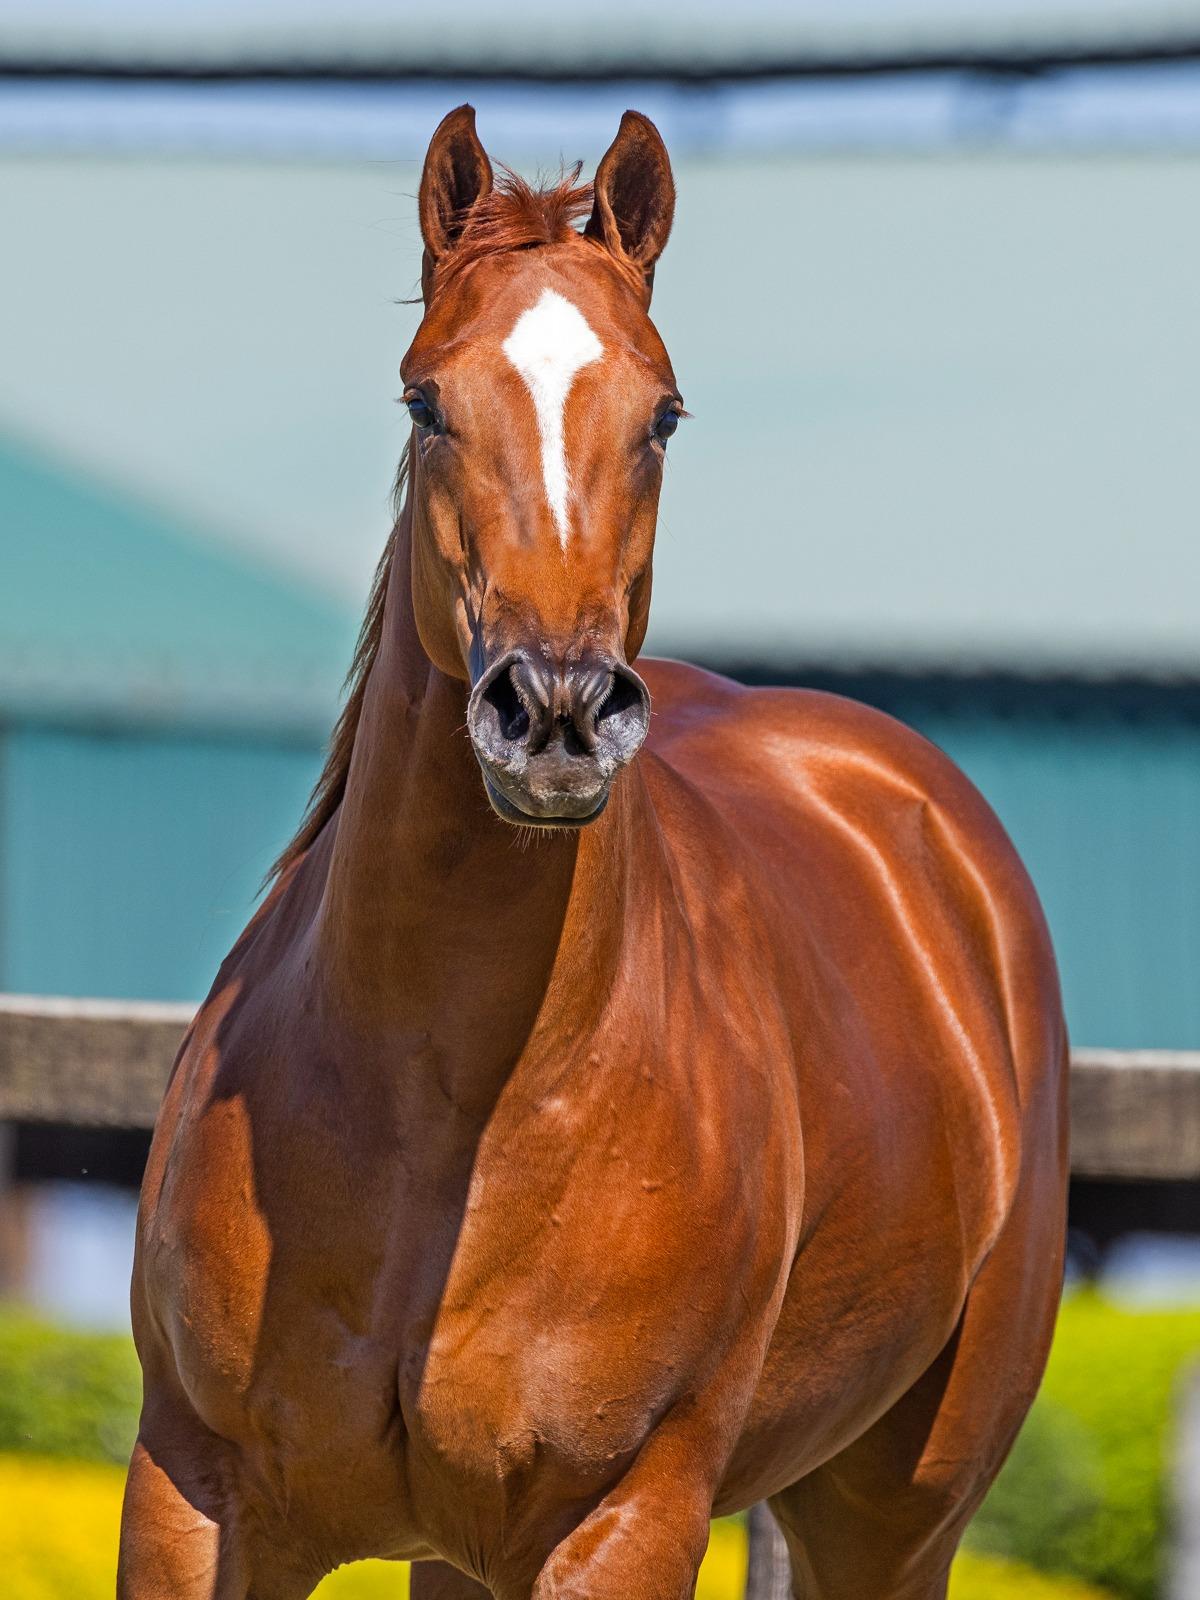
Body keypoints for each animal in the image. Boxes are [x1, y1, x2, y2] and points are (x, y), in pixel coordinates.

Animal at [117, 109, 1068, 1600]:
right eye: (426, 401)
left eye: (662, 412)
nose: (555, 710)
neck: (446, 1104)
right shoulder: (193, 1492)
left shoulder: (620, 1517)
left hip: (898, 1510)